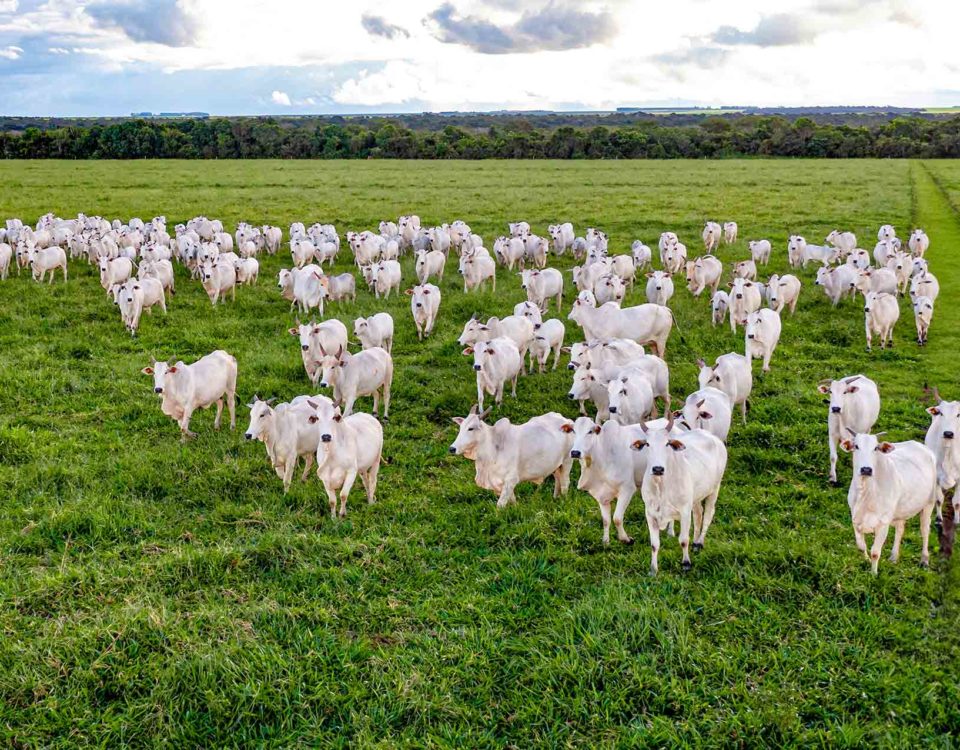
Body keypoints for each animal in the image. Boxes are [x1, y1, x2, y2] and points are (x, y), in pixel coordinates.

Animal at [632, 418, 728, 576]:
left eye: (667, 443)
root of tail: (711, 436)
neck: (661, 487)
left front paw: (686, 563)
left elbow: (683, 540)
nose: (657, 469)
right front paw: (653, 569)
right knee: (698, 514)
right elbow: (654, 544)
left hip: (715, 488)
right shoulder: (650, 513)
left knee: (708, 514)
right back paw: (695, 543)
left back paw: (699, 542)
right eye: (647, 444)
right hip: (695, 497)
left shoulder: (684, 512)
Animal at [840, 434, 936, 576]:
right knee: (900, 529)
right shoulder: (855, 520)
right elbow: (861, 547)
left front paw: (873, 574)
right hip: (899, 510)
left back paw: (924, 560)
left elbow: (875, 552)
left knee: (925, 530)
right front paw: (866, 561)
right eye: (856, 446)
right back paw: (894, 557)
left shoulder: (883, 524)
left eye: (875, 448)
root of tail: (919, 445)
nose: (866, 469)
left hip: (930, 502)